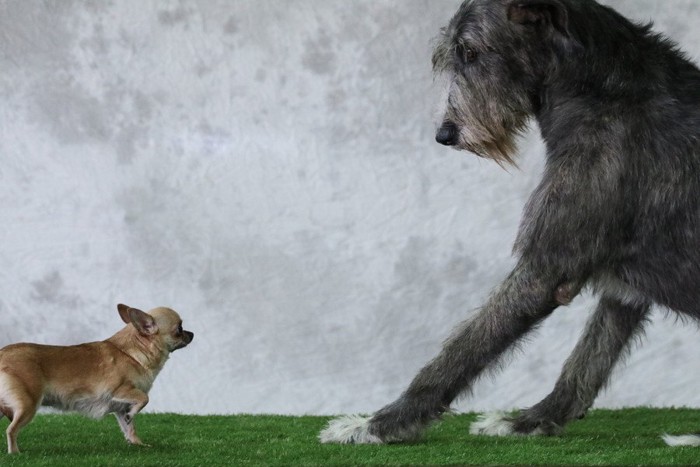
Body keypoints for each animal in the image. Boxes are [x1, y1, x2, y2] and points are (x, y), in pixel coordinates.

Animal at [0, 304, 193, 454]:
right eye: (179, 329)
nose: (191, 333)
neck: (132, 353)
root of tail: (3, 353)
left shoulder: (121, 408)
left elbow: (130, 427)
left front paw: (137, 444)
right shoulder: (120, 391)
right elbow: (144, 398)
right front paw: (134, 416)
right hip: (28, 405)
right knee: (11, 430)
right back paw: (15, 453)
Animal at [320, 0, 700, 448]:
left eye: (471, 52)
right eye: (453, 56)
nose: (444, 134)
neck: (602, 93)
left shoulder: (546, 269)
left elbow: (463, 349)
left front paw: (380, 424)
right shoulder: (620, 288)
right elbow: (586, 361)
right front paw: (534, 421)